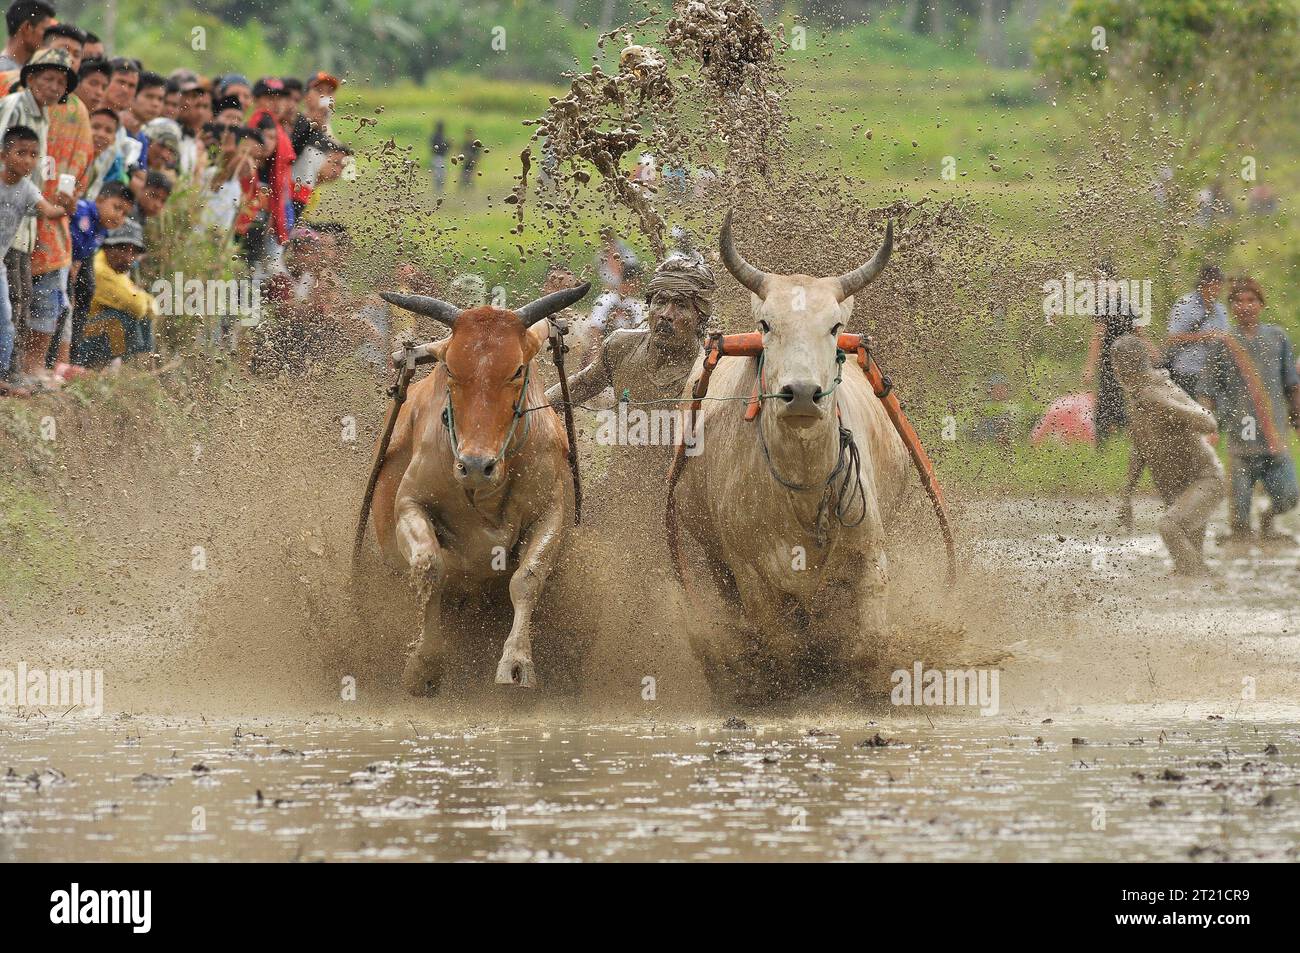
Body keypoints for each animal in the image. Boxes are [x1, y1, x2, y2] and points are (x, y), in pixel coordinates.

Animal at [369, 282, 587, 691]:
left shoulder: (551, 513)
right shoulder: (409, 503)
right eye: (452, 370)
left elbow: (527, 579)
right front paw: (425, 663)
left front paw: (516, 662)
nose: (473, 466)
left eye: (517, 370)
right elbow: (429, 568)